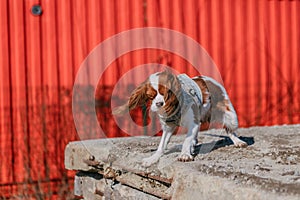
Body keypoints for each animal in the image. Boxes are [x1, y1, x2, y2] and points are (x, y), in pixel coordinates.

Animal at [113, 70, 247, 167]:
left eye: (165, 93)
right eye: (151, 96)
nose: (159, 104)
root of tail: (206, 78)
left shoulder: (193, 123)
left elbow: (187, 139)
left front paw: (185, 154)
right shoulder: (168, 126)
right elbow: (162, 144)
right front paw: (153, 158)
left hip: (230, 116)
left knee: (230, 130)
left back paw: (238, 142)